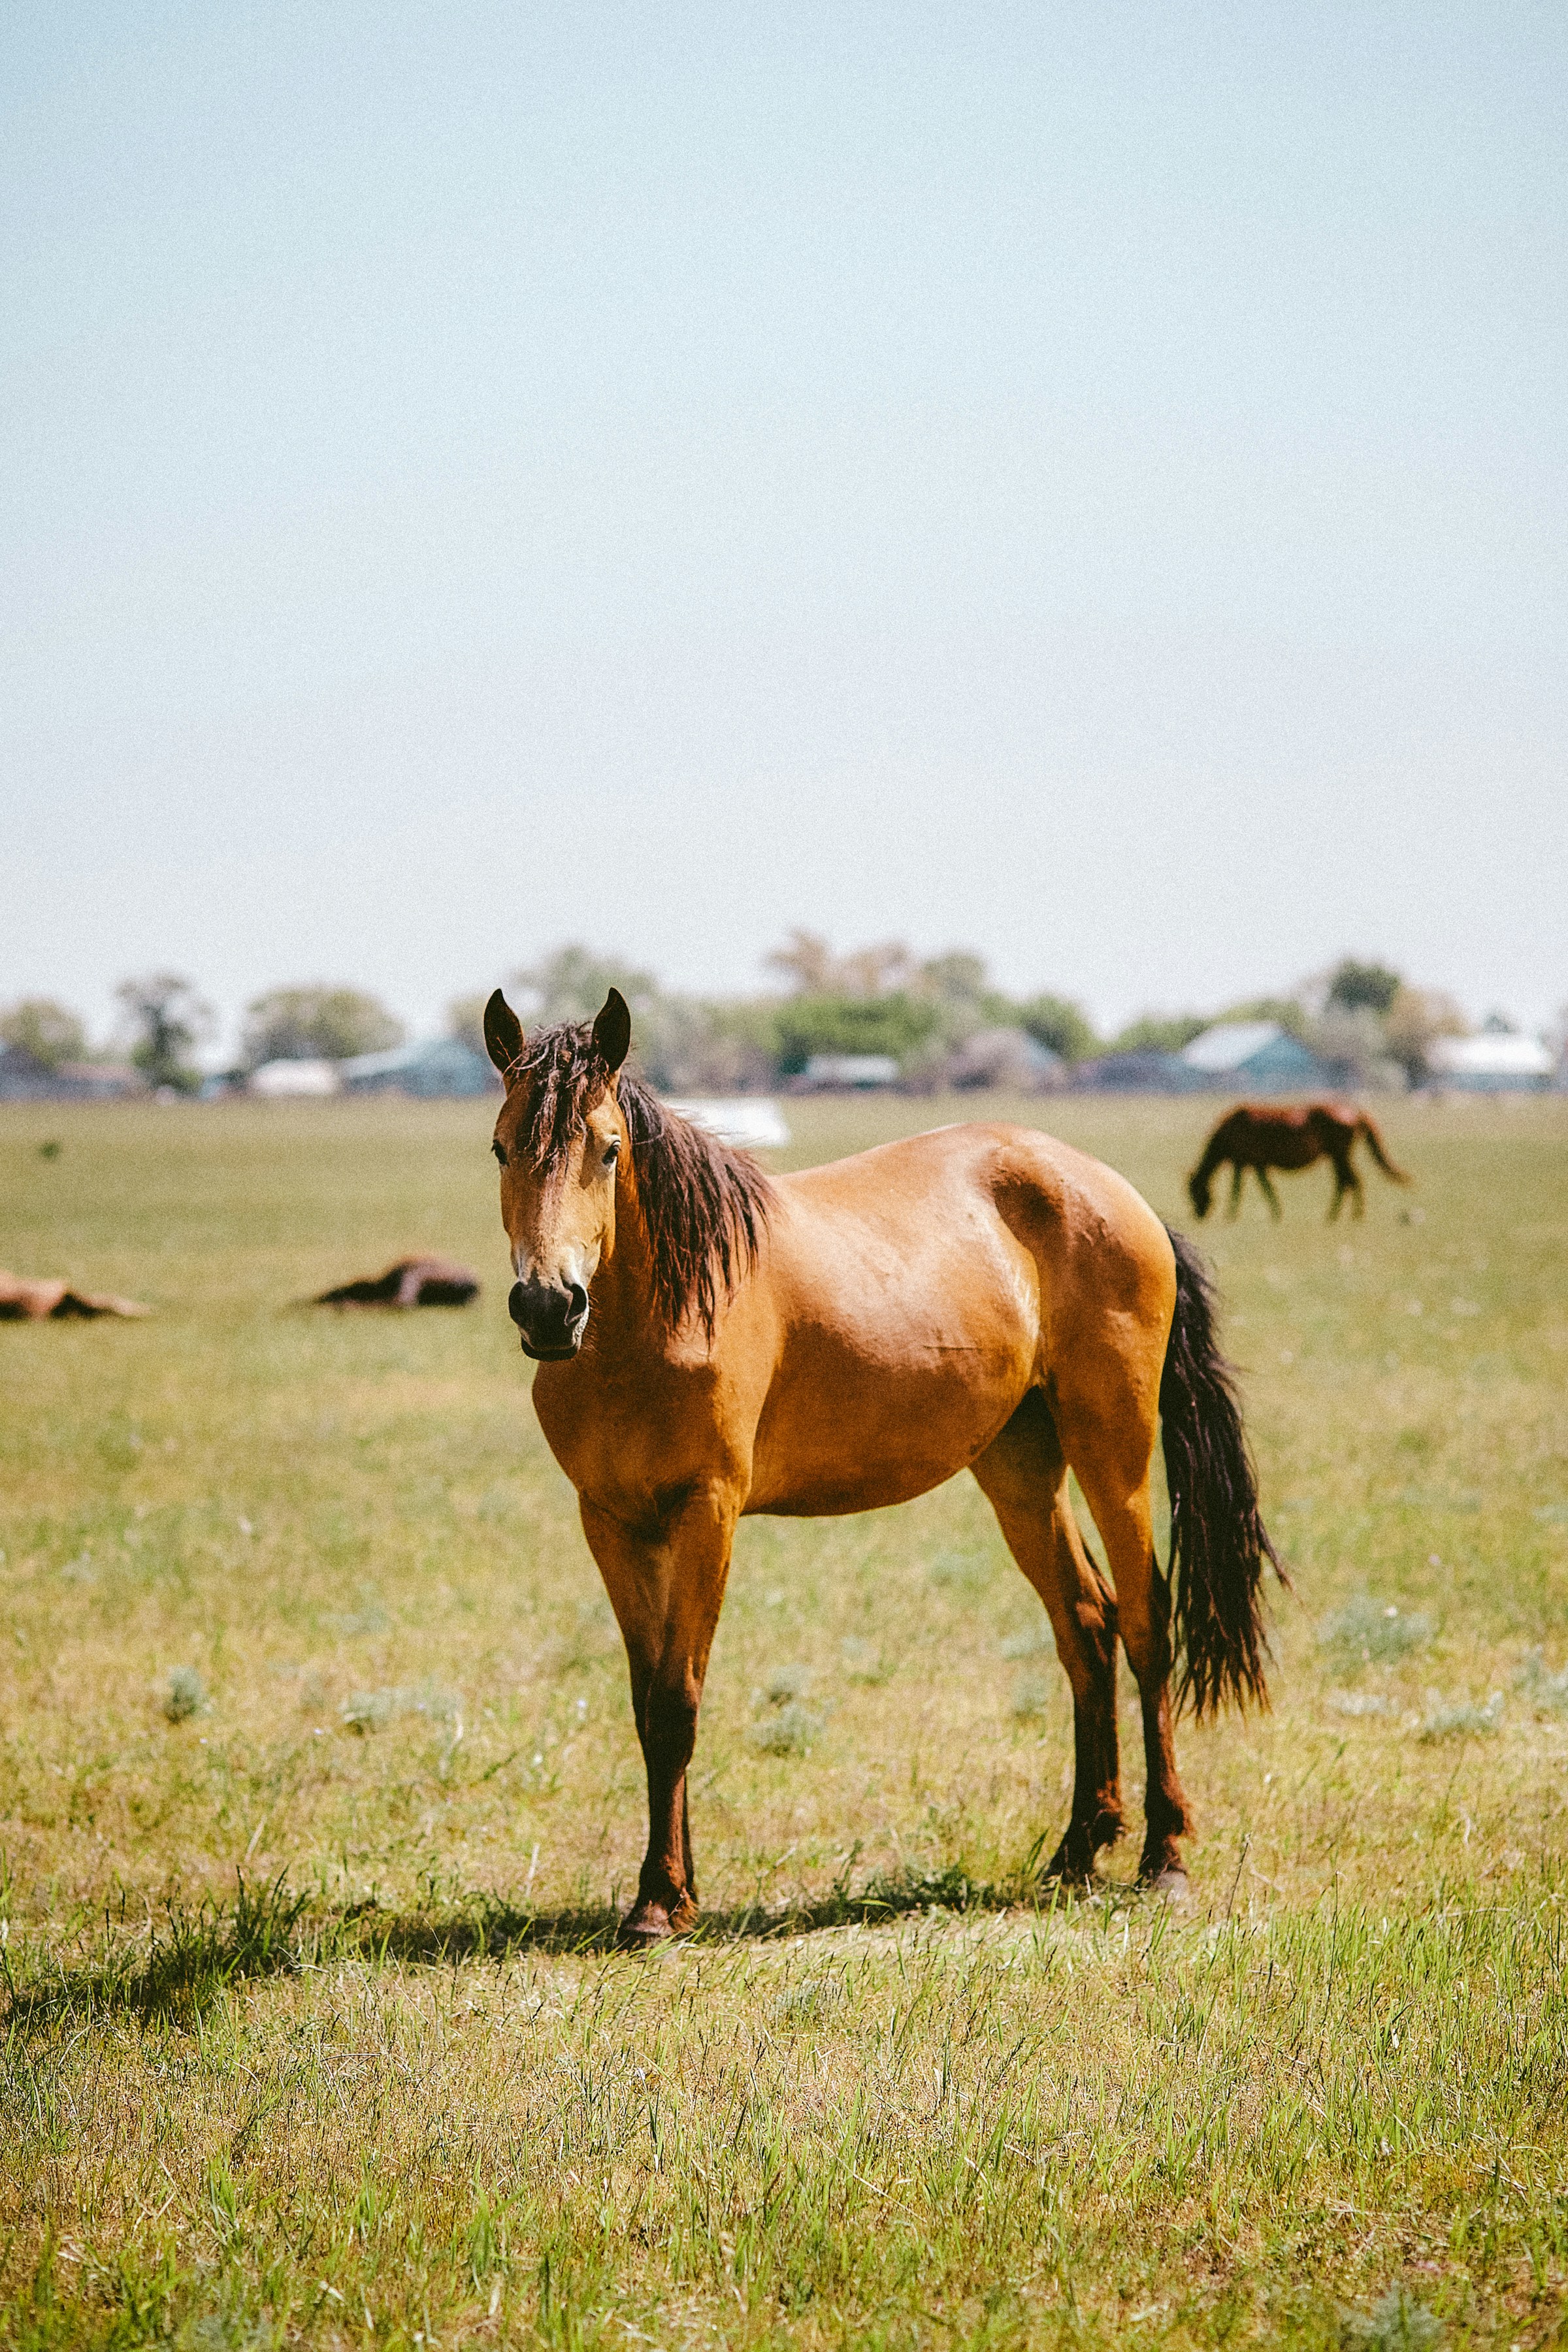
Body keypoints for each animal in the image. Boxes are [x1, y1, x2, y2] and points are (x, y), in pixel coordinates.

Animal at [484, 987, 1282, 1946]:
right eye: (500, 1146)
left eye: (606, 1148)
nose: (548, 1306)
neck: (652, 1320)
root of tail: (1119, 1197)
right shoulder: (611, 1521)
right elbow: (650, 1705)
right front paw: (675, 1887)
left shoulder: (707, 1513)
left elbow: (677, 1702)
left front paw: (657, 1904)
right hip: (1020, 1469)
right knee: (1086, 1626)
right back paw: (1078, 1850)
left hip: (1112, 1445)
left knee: (1145, 1623)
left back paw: (1163, 1856)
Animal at [1187, 1103, 1412, 1222]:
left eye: (1195, 1191)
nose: (1198, 1214)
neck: (1229, 1131)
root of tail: (1355, 1112)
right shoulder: (1255, 1164)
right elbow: (1265, 1188)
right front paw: (1276, 1213)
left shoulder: (1246, 1163)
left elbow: (1241, 1190)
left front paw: (1231, 1216)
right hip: (1337, 1156)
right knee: (1347, 1181)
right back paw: (1340, 1215)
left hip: (1339, 1155)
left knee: (1350, 1181)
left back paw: (1345, 1216)